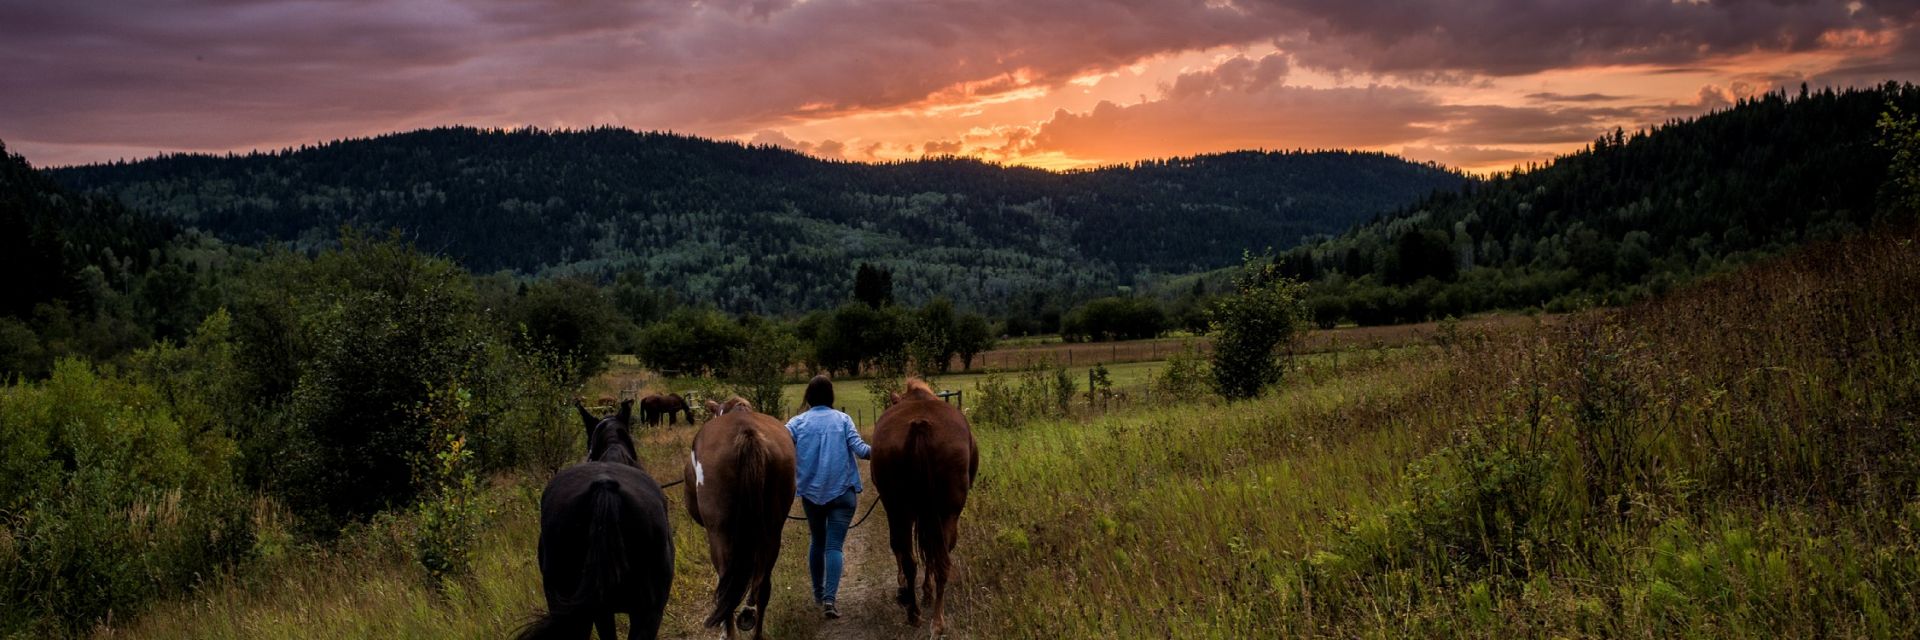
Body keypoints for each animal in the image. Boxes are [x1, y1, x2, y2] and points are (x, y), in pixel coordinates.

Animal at [879, 378, 983, 634]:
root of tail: (920, 425)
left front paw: (913, 591)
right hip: (944, 513)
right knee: (938, 559)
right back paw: (935, 619)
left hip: (902, 510)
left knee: (915, 558)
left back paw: (918, 614)